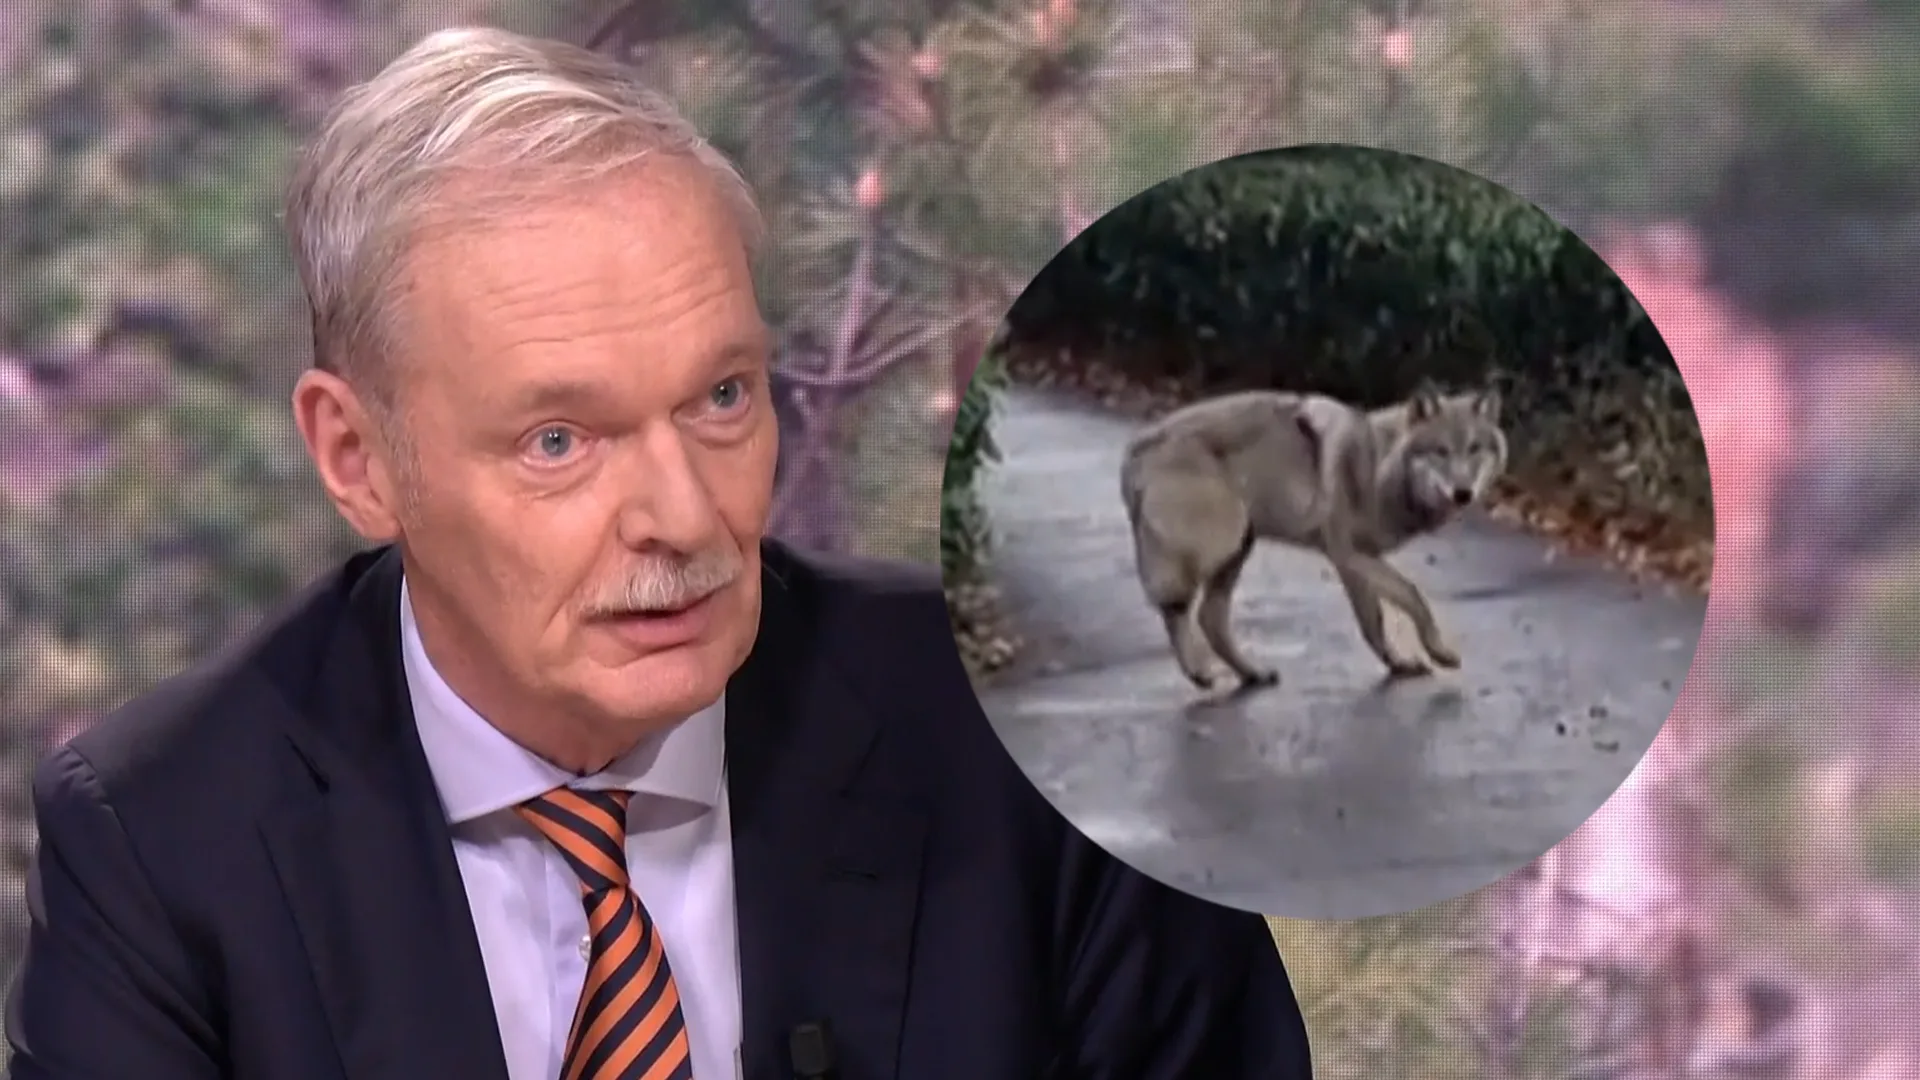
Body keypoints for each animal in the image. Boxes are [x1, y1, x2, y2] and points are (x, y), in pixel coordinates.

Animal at [1118, 384, 1507, 688]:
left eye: (1474, 449)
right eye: (1441, 451)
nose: (1463, 493)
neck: (1376, 466)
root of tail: (1135, 449)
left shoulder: (1353, 562)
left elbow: (1374, 623)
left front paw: (1399, 664)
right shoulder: (1350, 554)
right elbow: (1413, 596)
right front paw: (1439, 653)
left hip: (1238, 548)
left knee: (1209, 618)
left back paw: (1252, 673)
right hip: (1218, 544)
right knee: (1176, 609)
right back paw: (1199, 672)